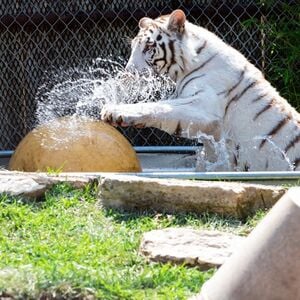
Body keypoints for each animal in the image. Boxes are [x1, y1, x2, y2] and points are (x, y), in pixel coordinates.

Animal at [101, 8, 300, 171]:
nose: (128, 74)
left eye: (149, 47)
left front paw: (114, 111)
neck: (186, 66)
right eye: (133, 47)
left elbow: (160, 107)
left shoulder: (204, 106)